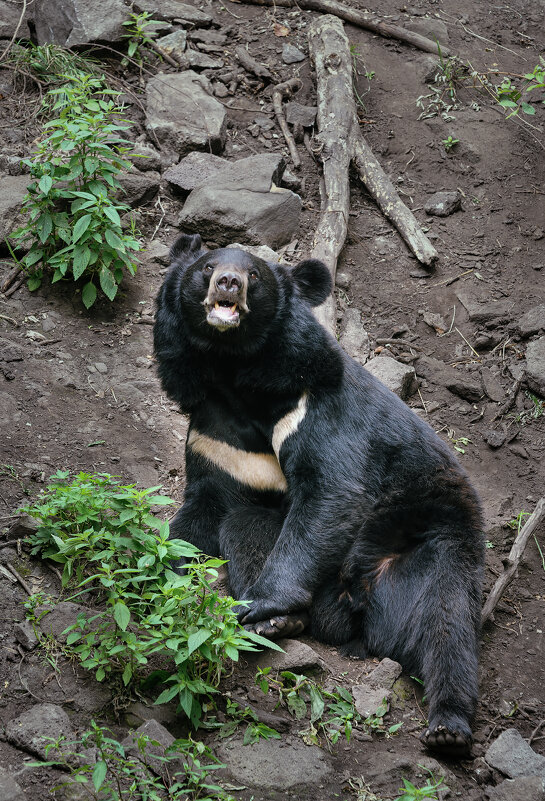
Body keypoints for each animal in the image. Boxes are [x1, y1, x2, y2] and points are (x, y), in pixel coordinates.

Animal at [155, 231, 482, 756]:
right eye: (207, 266)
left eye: (255, 274)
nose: (228, 282)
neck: (234, 372)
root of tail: (351, 612)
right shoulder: (215, 431)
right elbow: (206, 508)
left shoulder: (316, 407)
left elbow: (332, 491)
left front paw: (260, 605)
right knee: (246, 526)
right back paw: (286, 625)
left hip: (434, 535)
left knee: (445, 619)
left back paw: (448, 727)